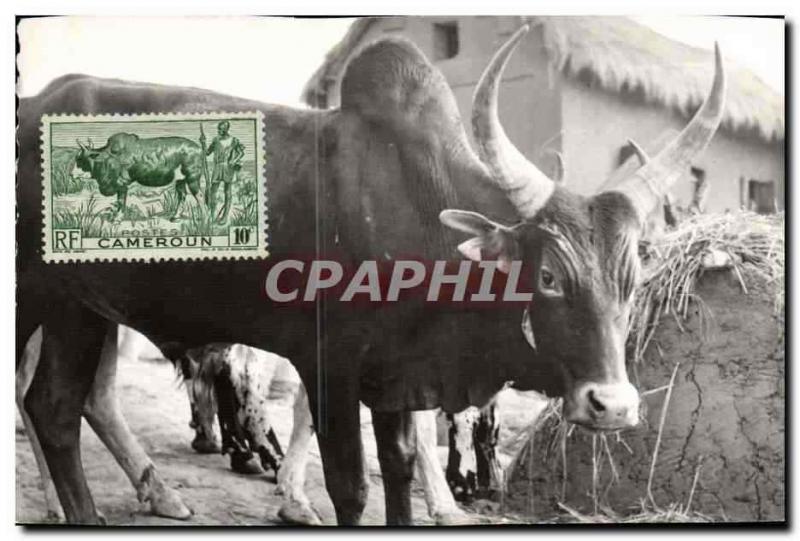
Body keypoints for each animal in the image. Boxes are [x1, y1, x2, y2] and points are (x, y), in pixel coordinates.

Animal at [15, 26, 724, 524]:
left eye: (633, 275)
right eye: (548, 274)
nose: (614, 405)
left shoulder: (396, 383)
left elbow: (401, 473)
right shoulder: (328, 366)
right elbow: (351, 490)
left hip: (81, 311)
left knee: (56, 407)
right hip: (42, 302)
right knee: (51, 405)